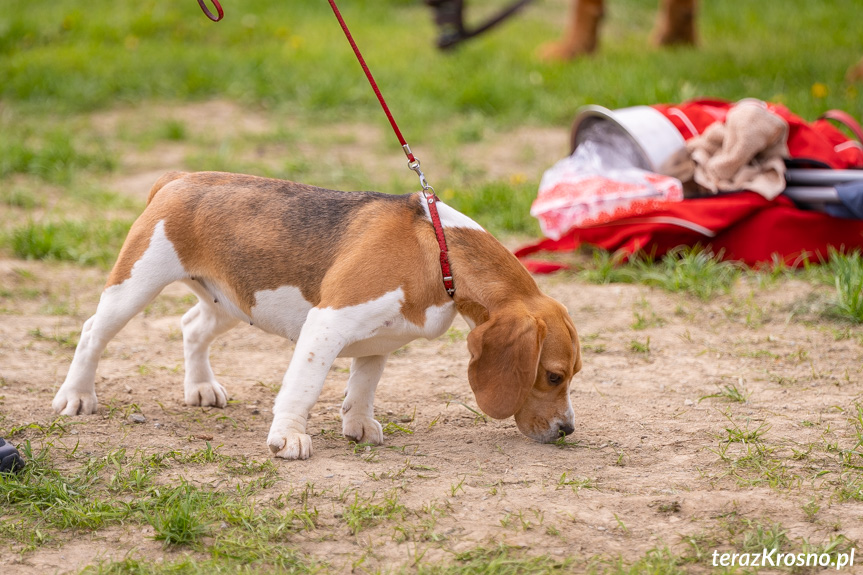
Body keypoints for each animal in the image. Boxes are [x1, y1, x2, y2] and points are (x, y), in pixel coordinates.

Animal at [50, 171, 584, 460]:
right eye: (554, 377)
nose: (568, 431)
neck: (439, 252)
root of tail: (179, 179)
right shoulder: (327, 324)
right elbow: (303, 389)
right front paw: (288, 438)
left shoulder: (380, 341)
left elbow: (363, 388)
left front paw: (359, 426)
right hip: (134, 287)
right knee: (92, 333)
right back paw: (76, 396)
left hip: (234, 301)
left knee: (192, 327)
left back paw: (200, 387)